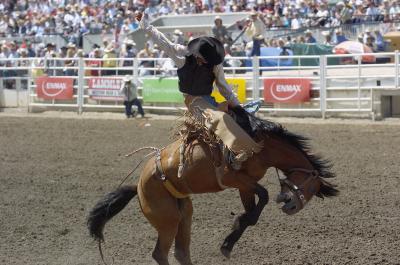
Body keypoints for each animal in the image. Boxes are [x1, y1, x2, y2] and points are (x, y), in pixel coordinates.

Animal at [86, 110, 338, 264]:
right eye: (312, 187)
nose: (292, 208)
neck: (261, 146)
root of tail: (138, 185)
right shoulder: (231, 177)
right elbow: (264, 196)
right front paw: (230, 240)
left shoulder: (245, 185)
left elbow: (252, 212)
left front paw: (229, 241)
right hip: (167, 220)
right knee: (160, 253)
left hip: (183, 213)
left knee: (181, 251)